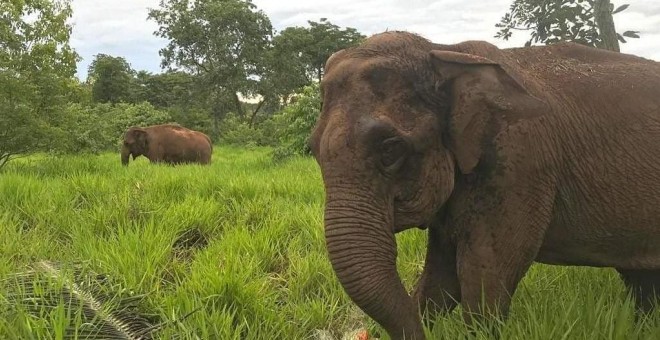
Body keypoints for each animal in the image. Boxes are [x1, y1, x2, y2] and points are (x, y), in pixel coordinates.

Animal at [310, 30, 660, 338]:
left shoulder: (518, 163)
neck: (444, 51)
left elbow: (484, 278)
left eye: (390, 148)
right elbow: (441, 279)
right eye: (311, 149)